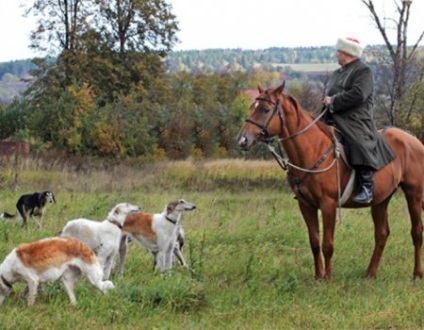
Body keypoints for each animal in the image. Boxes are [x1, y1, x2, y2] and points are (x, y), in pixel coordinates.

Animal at [238, 81, 424, 280]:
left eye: (265, 109)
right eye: (252, 107)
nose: (242, 140)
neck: (313, 149)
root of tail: (413, 139)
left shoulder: (328, 204)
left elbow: (327, 244)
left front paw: (328, 278)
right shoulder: (306, 205)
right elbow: (314, 242)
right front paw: (318, 276)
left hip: (414, 194)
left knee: (417, 232)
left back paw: (417, 274)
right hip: (381, 200)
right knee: (382, 234)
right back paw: (370, 274)